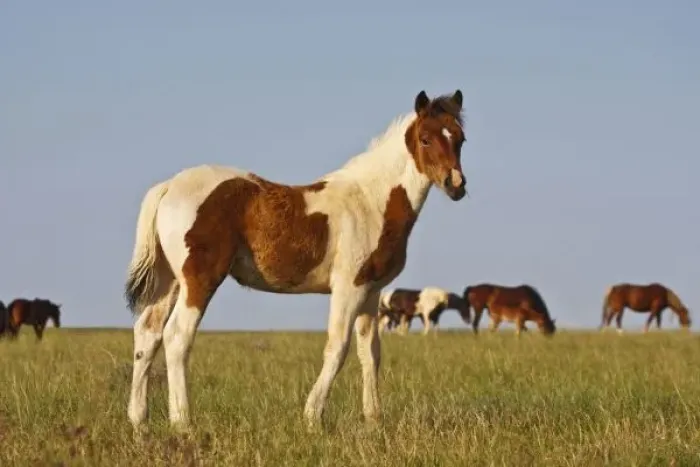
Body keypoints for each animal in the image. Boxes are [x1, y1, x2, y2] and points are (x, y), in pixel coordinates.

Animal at [124, 89, 469, 431]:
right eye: (425, 138)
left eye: (460, 138)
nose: (456, 185)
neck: (371, 202)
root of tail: (169, 186)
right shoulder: (348, 288)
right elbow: (337, 347)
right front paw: (313, 416)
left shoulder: (371, 292)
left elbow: (370, 352)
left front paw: (373, 420)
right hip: (199, 279)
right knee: (177, 336)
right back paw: (183, 423)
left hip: (169, 281)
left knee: (148, 333)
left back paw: (139, 421)